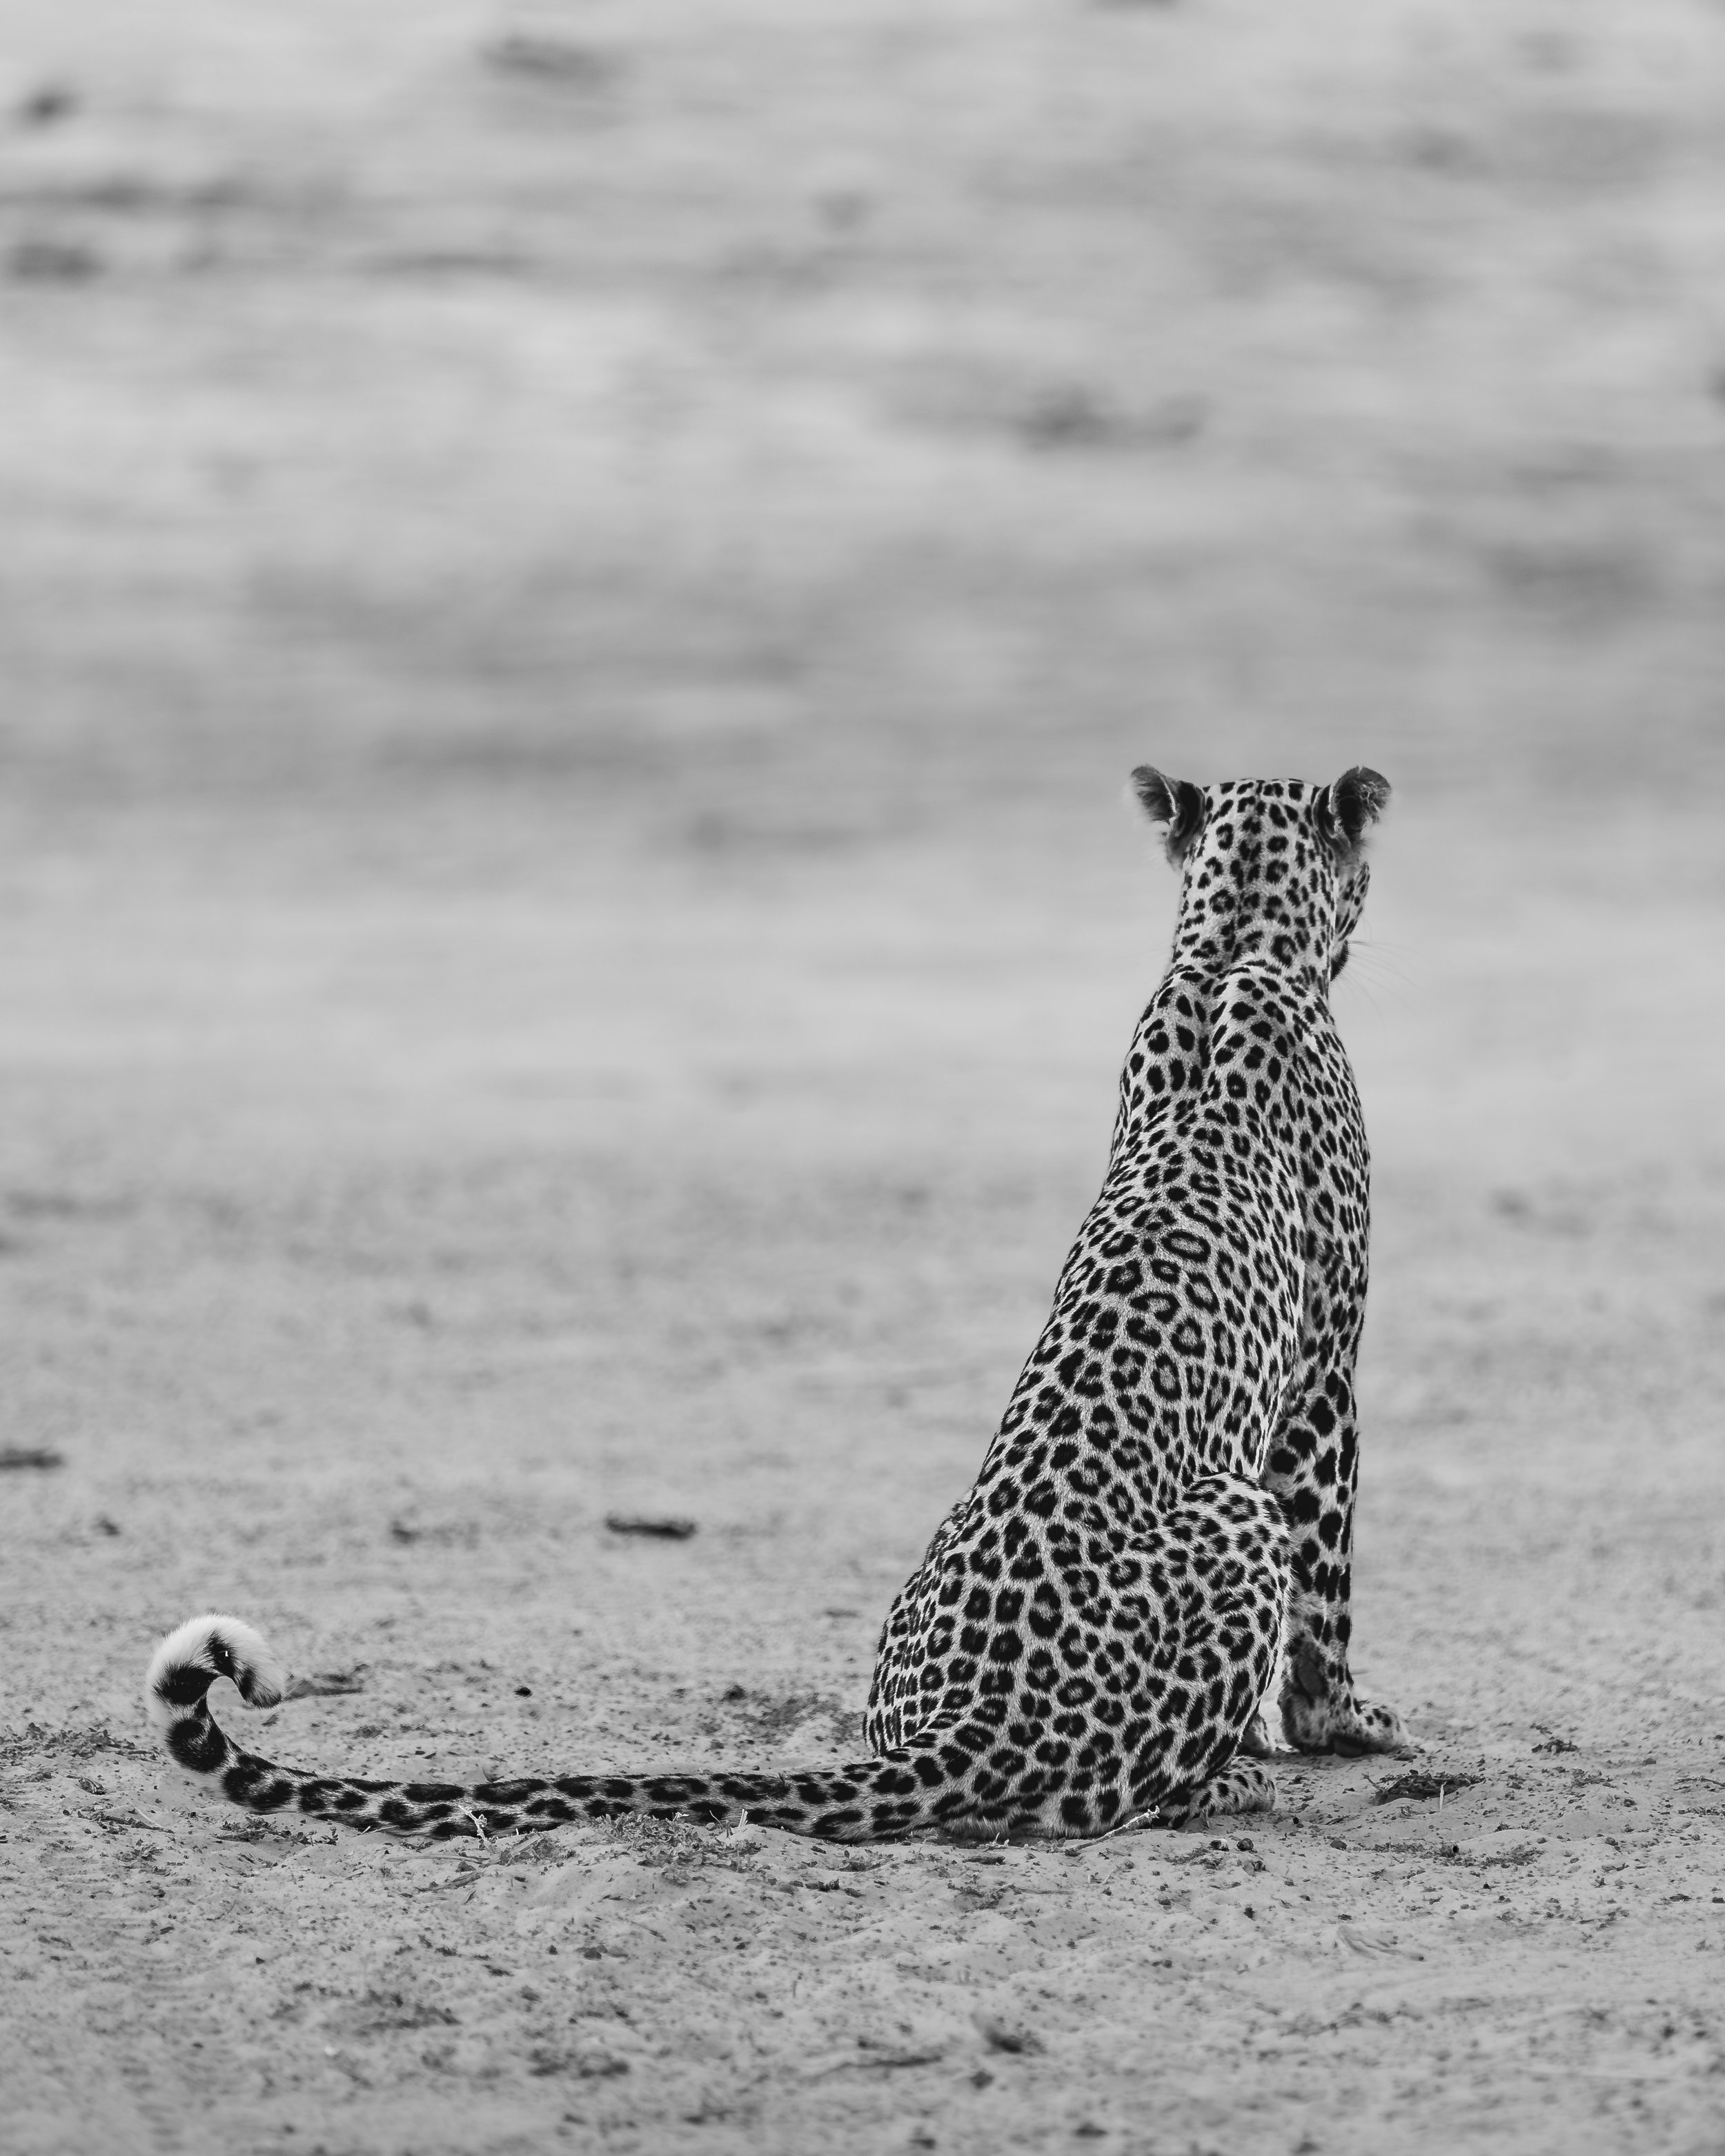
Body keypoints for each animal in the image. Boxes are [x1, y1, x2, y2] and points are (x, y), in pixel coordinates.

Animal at [145, 768, 1406, 1844]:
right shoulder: (1324, 1378)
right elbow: (1330, 1585)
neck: (1233, 946)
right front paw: (1342, 1728)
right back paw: (1228, 1778)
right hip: (1233, 1514)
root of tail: (962, 1732)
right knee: (1125, 1791)